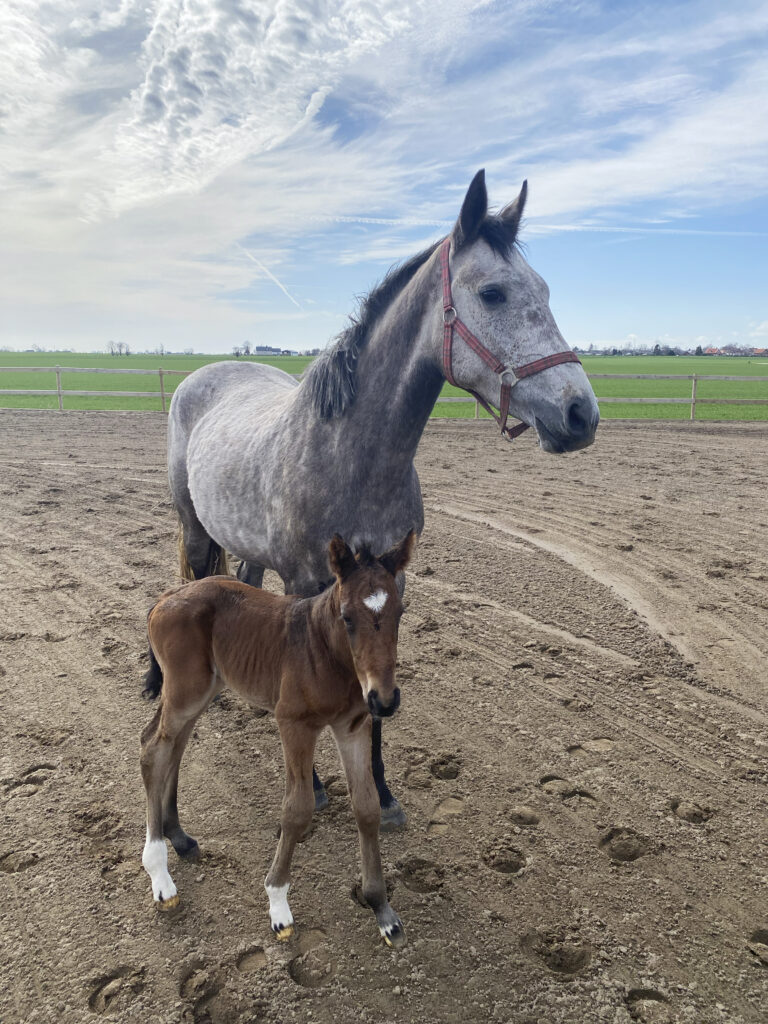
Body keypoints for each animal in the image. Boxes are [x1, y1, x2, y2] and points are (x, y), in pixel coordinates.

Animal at [138, 532, 415, 946]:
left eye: (399, 614)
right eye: (347, 617)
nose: (384, 699)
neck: (327, 653)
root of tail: (167, 595)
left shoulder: (353, 726)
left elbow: (367, 807)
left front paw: (382, 910)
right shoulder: (294, 724)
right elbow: (297, 809)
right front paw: (279, 906)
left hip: (201, 691)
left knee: (173, 746)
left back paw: (180, 838)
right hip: (187, 691)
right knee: (154, 750)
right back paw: (160, 877)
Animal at [166, 167, 602, 823]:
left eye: (545, 290)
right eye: (493, 293)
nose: (580, 414)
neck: (353, 457)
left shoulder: (389, 582)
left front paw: (382, 789)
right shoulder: (308, 583)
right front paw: (317, 785)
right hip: (195, 528)